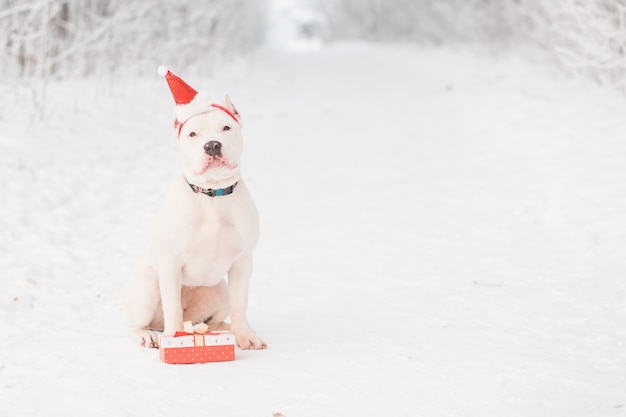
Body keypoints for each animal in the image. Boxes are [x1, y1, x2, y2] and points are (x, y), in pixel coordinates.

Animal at [125, 66, 264, 350]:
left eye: (226, 127)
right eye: (192, 134)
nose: (212, 145)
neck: (212, 196)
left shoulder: (243, 261)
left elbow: (240, 304)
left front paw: (245, 336)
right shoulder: (169, 263)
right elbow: (173, 308)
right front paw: (174, 338)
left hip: (219, 291)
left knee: (214, 320)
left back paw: (226, 329)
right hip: (148, 285)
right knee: (138, 323)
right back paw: (147, 335)